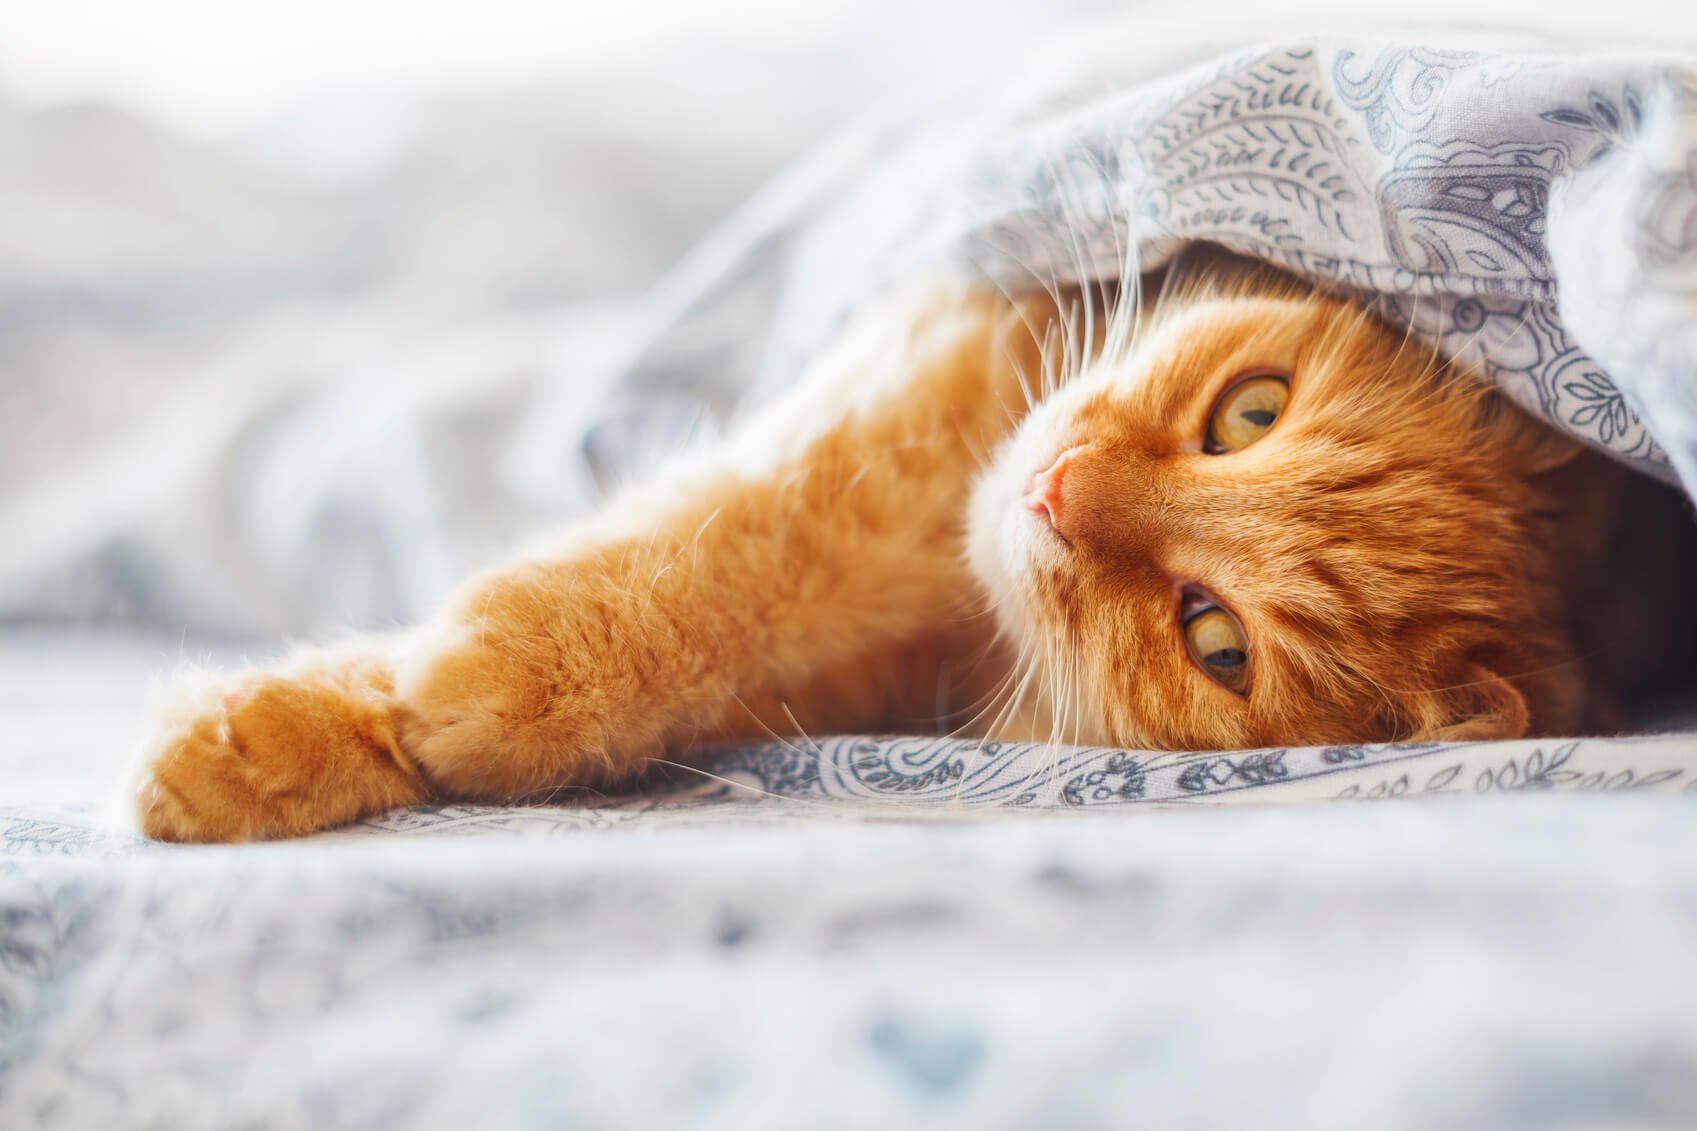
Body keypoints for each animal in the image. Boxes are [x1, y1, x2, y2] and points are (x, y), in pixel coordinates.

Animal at [128, 251, 1697, 842]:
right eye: (1250, 412)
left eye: (1214, 638)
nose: (1059, 490)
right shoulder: (930, 385)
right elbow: (739, 533)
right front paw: (286, 732)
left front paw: (431, 710)